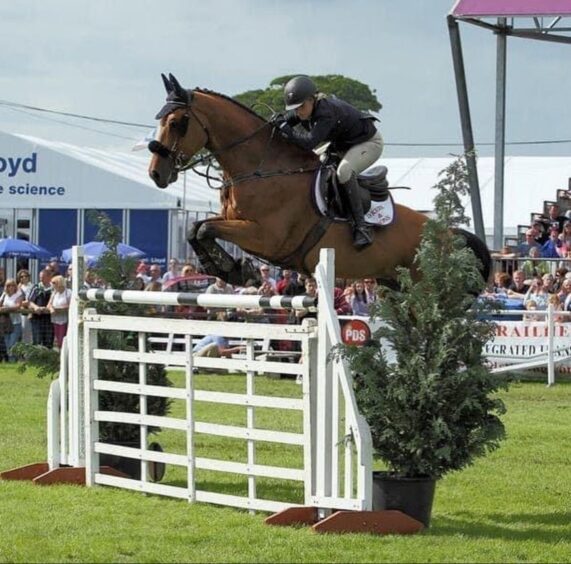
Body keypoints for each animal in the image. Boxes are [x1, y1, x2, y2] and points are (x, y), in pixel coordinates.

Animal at [147, 74, 492, 286]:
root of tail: (450, 235)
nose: (156, 173)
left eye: (177, 122)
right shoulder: (234, 221)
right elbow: (196, 229)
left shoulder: (265, 237)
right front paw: (231, 270)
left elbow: (205, 229)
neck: (261, 168)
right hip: (392, 284)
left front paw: (239, 272)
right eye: (160, 119)